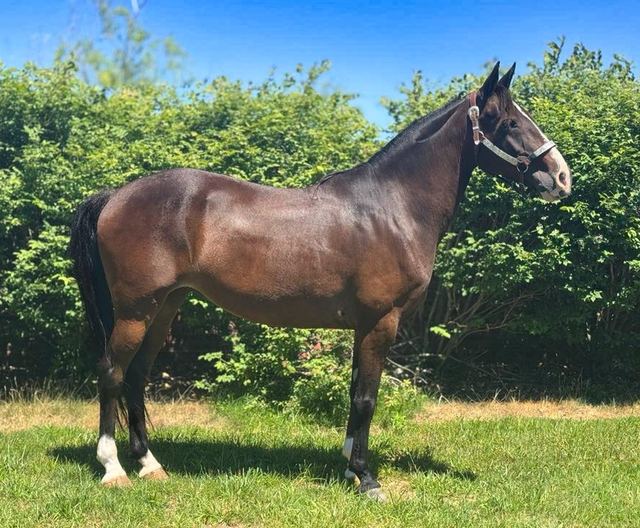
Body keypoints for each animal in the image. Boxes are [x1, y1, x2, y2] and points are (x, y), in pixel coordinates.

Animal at [69, 62, 571, 500]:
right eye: (509, 122)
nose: (562, 177)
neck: (392, 206)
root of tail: (115, 195)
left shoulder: (364, 326)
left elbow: (354, 392)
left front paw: (349, 465)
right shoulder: (380, 321)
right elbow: (367, 397)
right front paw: (367, 480)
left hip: (164, 308)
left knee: (137, 376)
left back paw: (150, 464)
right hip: (136, 311)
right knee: (112, 373)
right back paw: (113, 469)